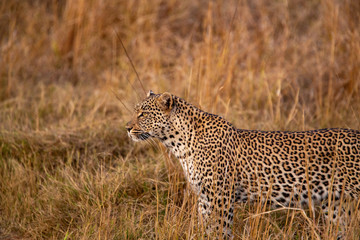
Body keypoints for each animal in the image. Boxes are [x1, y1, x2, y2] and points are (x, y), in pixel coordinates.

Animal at [126, 91, 360, 239]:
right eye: (136, 111)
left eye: (143, 114)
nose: (127, 128)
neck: (180, 143)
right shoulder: (204, 199)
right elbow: (207, 230)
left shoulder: (219, 198)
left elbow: (219, 231)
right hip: (336, 205)